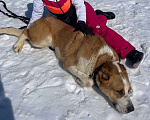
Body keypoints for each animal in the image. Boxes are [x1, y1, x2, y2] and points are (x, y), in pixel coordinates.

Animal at [0, 14, 134, 113]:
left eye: (128, 91)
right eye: (119, 91)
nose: (131, 109)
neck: (100, 60)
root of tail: (46, 17)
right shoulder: (68, 63)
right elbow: (88, 81)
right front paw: (79, 80)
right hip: (42, 40)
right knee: (25, 31)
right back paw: (18, 45)